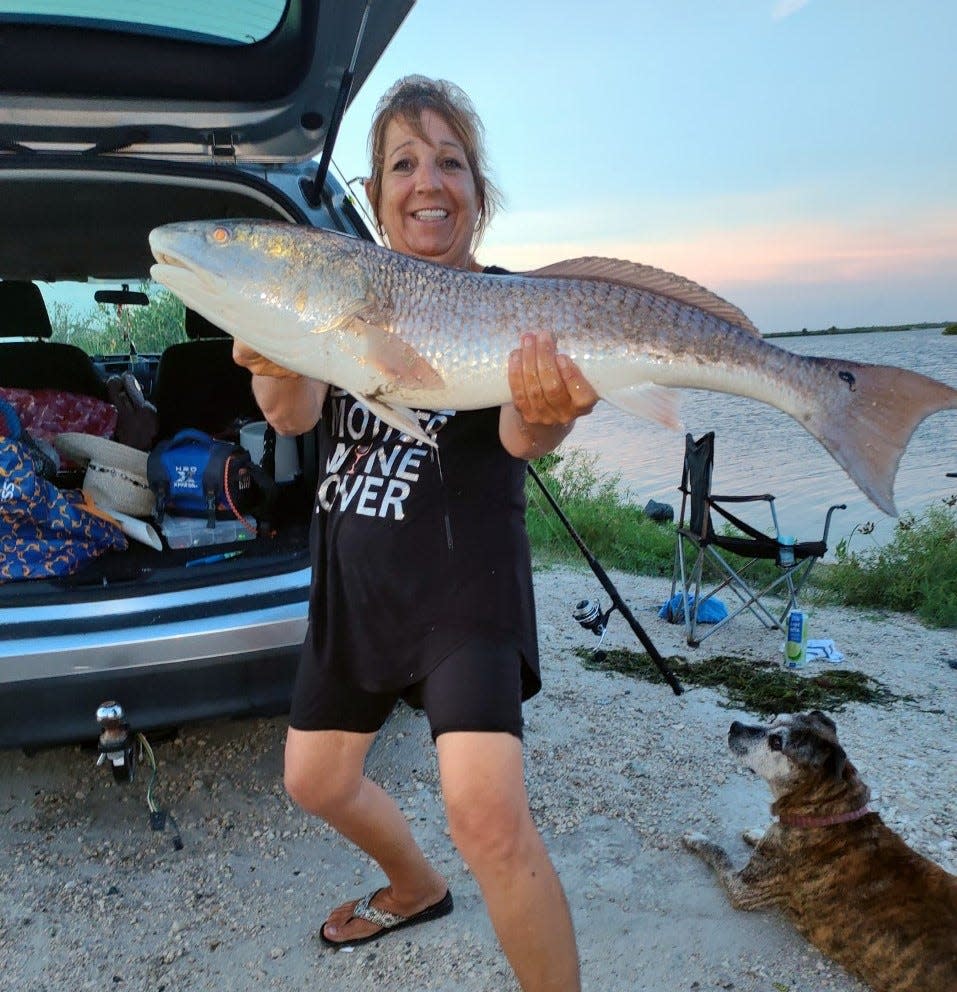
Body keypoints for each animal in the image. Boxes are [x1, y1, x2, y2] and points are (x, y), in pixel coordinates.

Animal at [680, 708, 956, 992]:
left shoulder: (742, 888)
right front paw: (755, 833)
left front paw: (697, 838)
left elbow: (718, 852)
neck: (827, 814)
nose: (734, 725)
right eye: (772, 720)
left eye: (776, 743)